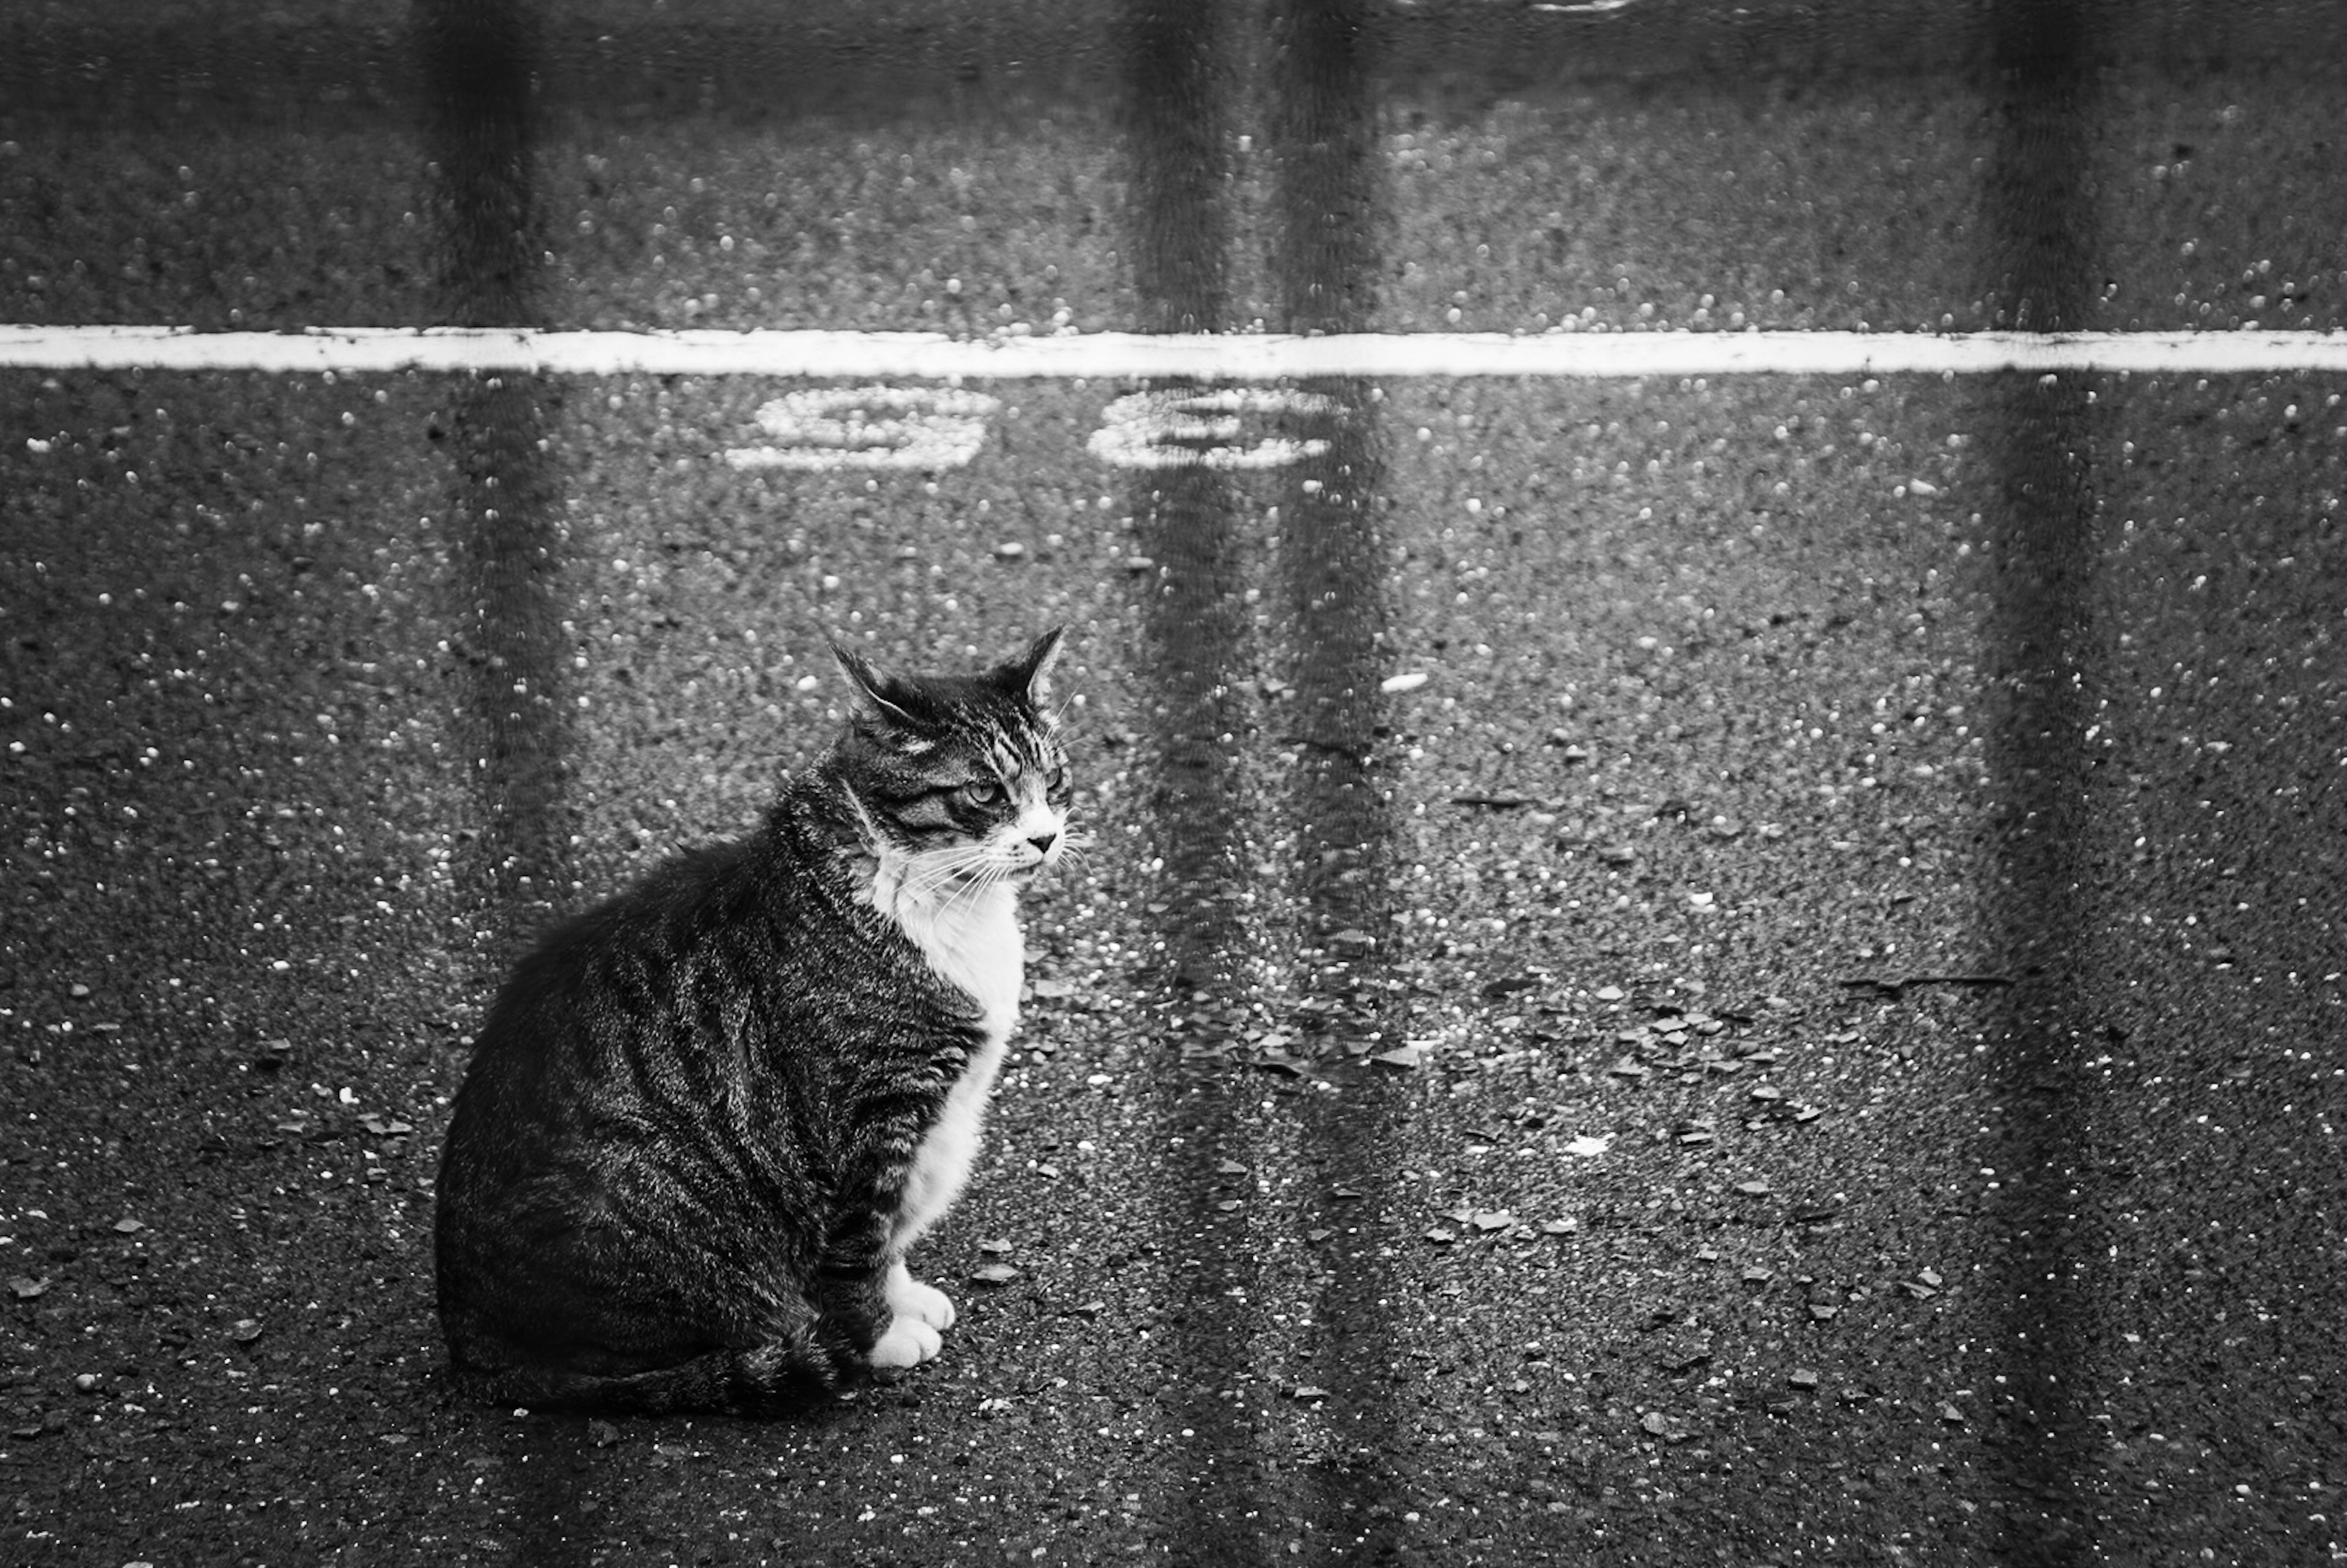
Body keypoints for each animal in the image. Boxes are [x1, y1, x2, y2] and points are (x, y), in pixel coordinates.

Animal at [434, 629, 1074, 1418]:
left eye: (1054, 779)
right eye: (985, 791)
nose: (1045, 838)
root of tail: (475, 1347)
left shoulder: (924, 1125)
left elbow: (890, 1233)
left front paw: (907, 1300)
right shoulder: (869, 1116)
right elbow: (861, 1245)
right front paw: (881, 1337)